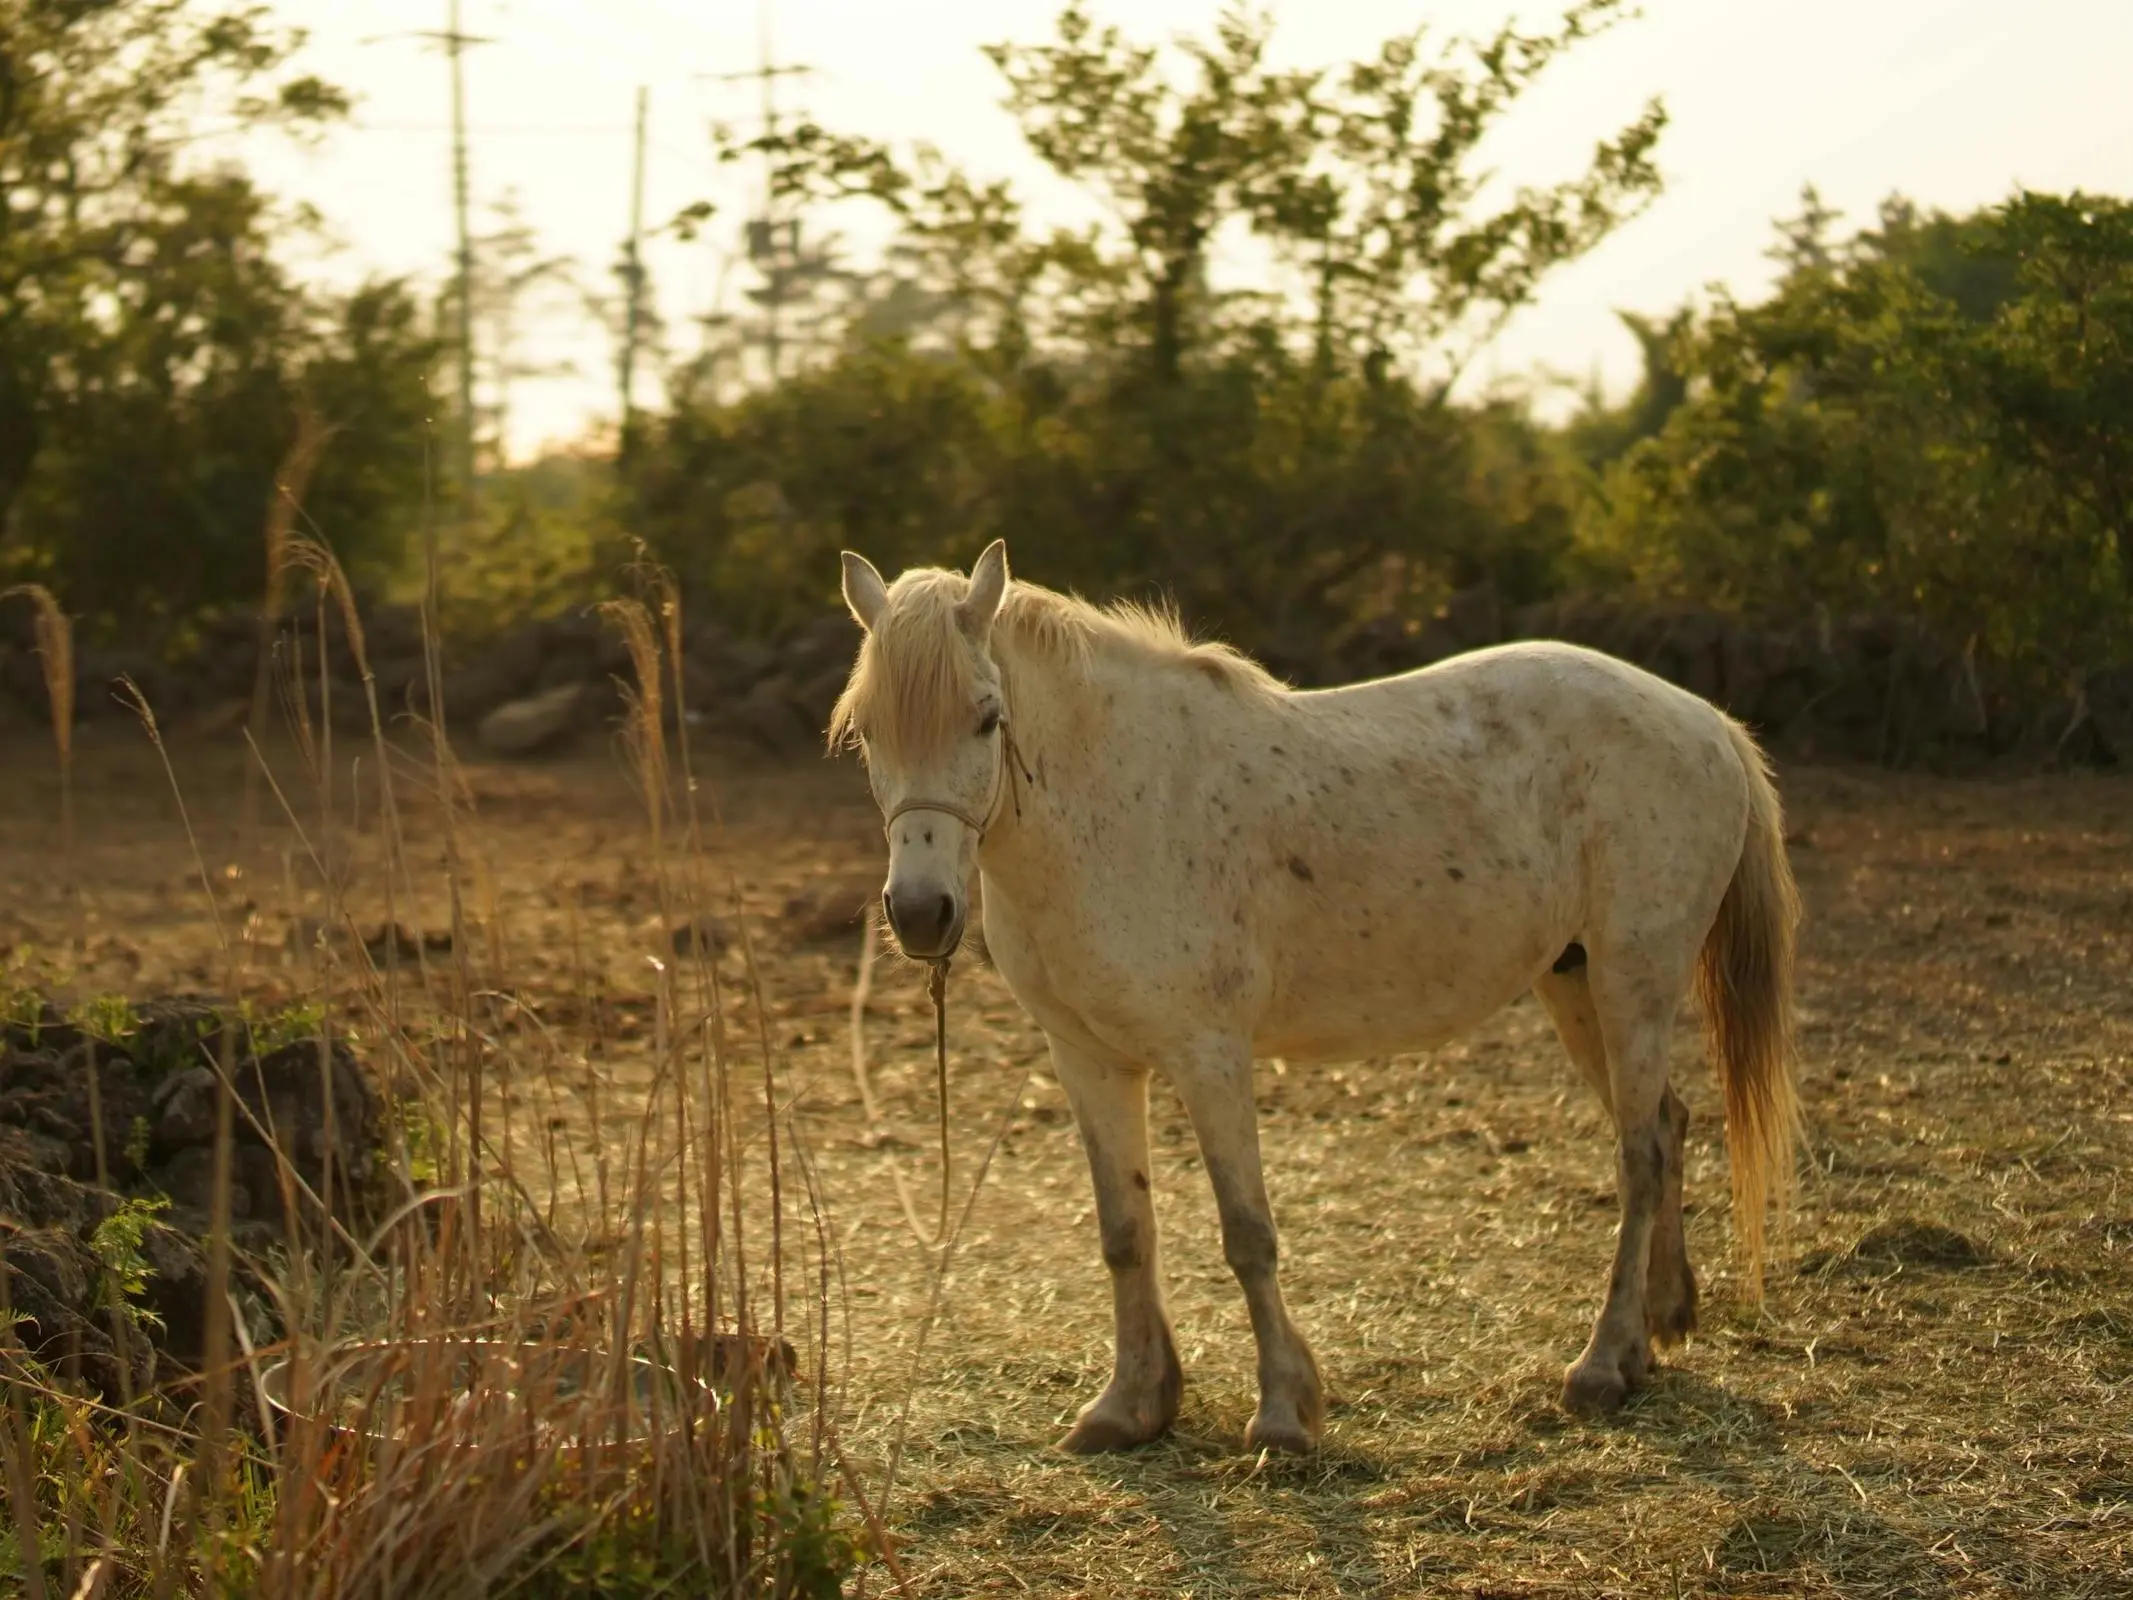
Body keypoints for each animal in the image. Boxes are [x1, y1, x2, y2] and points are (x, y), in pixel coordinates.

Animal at [831, 546, 1800, 1459]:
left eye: (986, 717)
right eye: (867, 731)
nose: (920, 913)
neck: (1121, 800)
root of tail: (1705, 721)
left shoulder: (1209, 1056)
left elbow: (1245, 1233)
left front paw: (1282, 1416)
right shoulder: (1089, 1060)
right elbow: (1125, 1231)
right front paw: (1129, 1408)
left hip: (1633, 979)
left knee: (1639, 1155)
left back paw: (1600, 1366)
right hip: (1575, 984)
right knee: (1665, 1127)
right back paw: (1657, 1331)